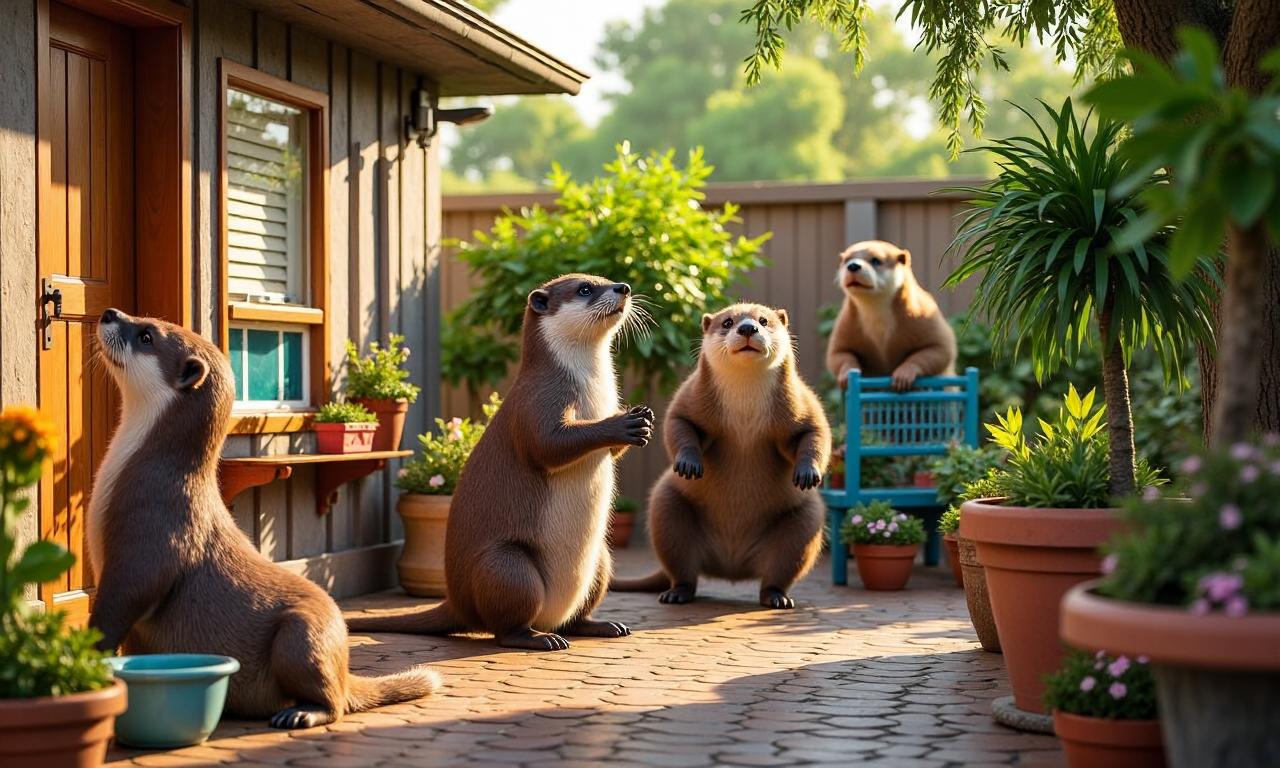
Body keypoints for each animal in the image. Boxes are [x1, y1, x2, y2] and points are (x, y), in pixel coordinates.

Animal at [88, 309, 439, 729]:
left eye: (146, 335)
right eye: (148, 320)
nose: (110, 313)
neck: (146, 470)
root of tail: (345, 668)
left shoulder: (150, 538)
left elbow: (117, 610)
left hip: (303, 635)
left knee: (335, 702)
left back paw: (300, 713)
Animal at [346, 274, 653, 651]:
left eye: (607, 279)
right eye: (585, 288)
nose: (623, 287)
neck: (591, 393)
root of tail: (455, 600)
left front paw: (642, 423)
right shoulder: (537, 400)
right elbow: (548, 446)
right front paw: (622, 423)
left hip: (601, 559)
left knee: (576, 614)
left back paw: (600, 625)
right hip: (507, 567)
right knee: (503, 627)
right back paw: (539, 638)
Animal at [611, 303, 830, 609]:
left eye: (764, 320)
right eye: (727, 322)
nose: (748, 327)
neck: (745, 407)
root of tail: (732, 566)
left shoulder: (802, 402)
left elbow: (816, 433)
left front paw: (808, 472)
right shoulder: (690, 396)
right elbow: (676, 424)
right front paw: (688, 463)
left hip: (804, 521)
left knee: (779, 570)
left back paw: (778, 598)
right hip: (666, 508)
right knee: (682, 570)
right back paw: (675, 594)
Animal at [825, 240, 956, 392]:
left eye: (875, 260)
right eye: (846, 260)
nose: (853, 265)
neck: (876, 311)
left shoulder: (923, 316)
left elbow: (939, 349)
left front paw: (903, 374)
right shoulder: (845, 325)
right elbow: (838, 354)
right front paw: (847, 374)